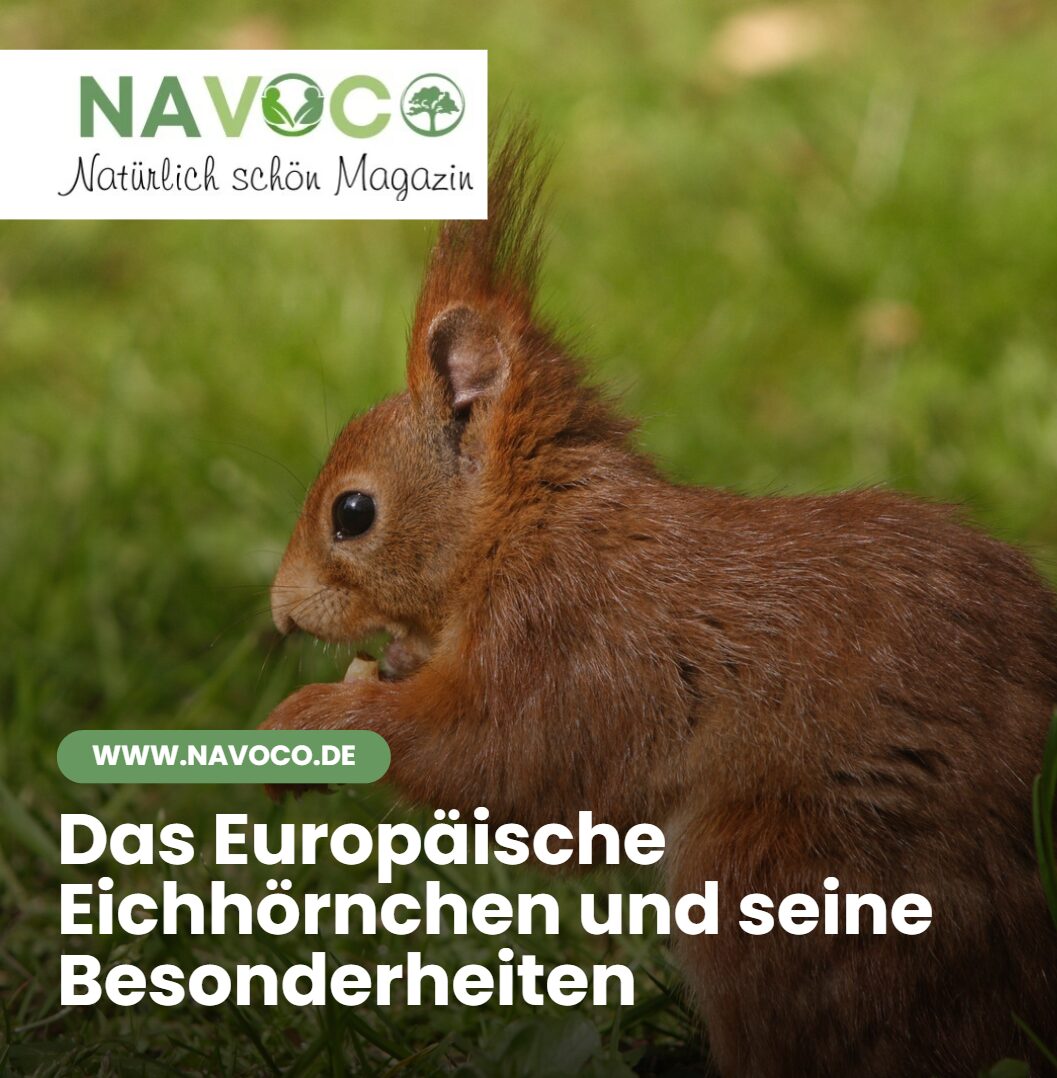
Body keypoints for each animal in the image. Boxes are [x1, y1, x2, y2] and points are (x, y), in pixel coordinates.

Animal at [262, 127, 1057, 1076]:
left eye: (351, 513)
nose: (278, 612)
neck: (527, 529)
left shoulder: (572, 644)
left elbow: (500, 758)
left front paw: (312, 722)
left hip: (790, 879)